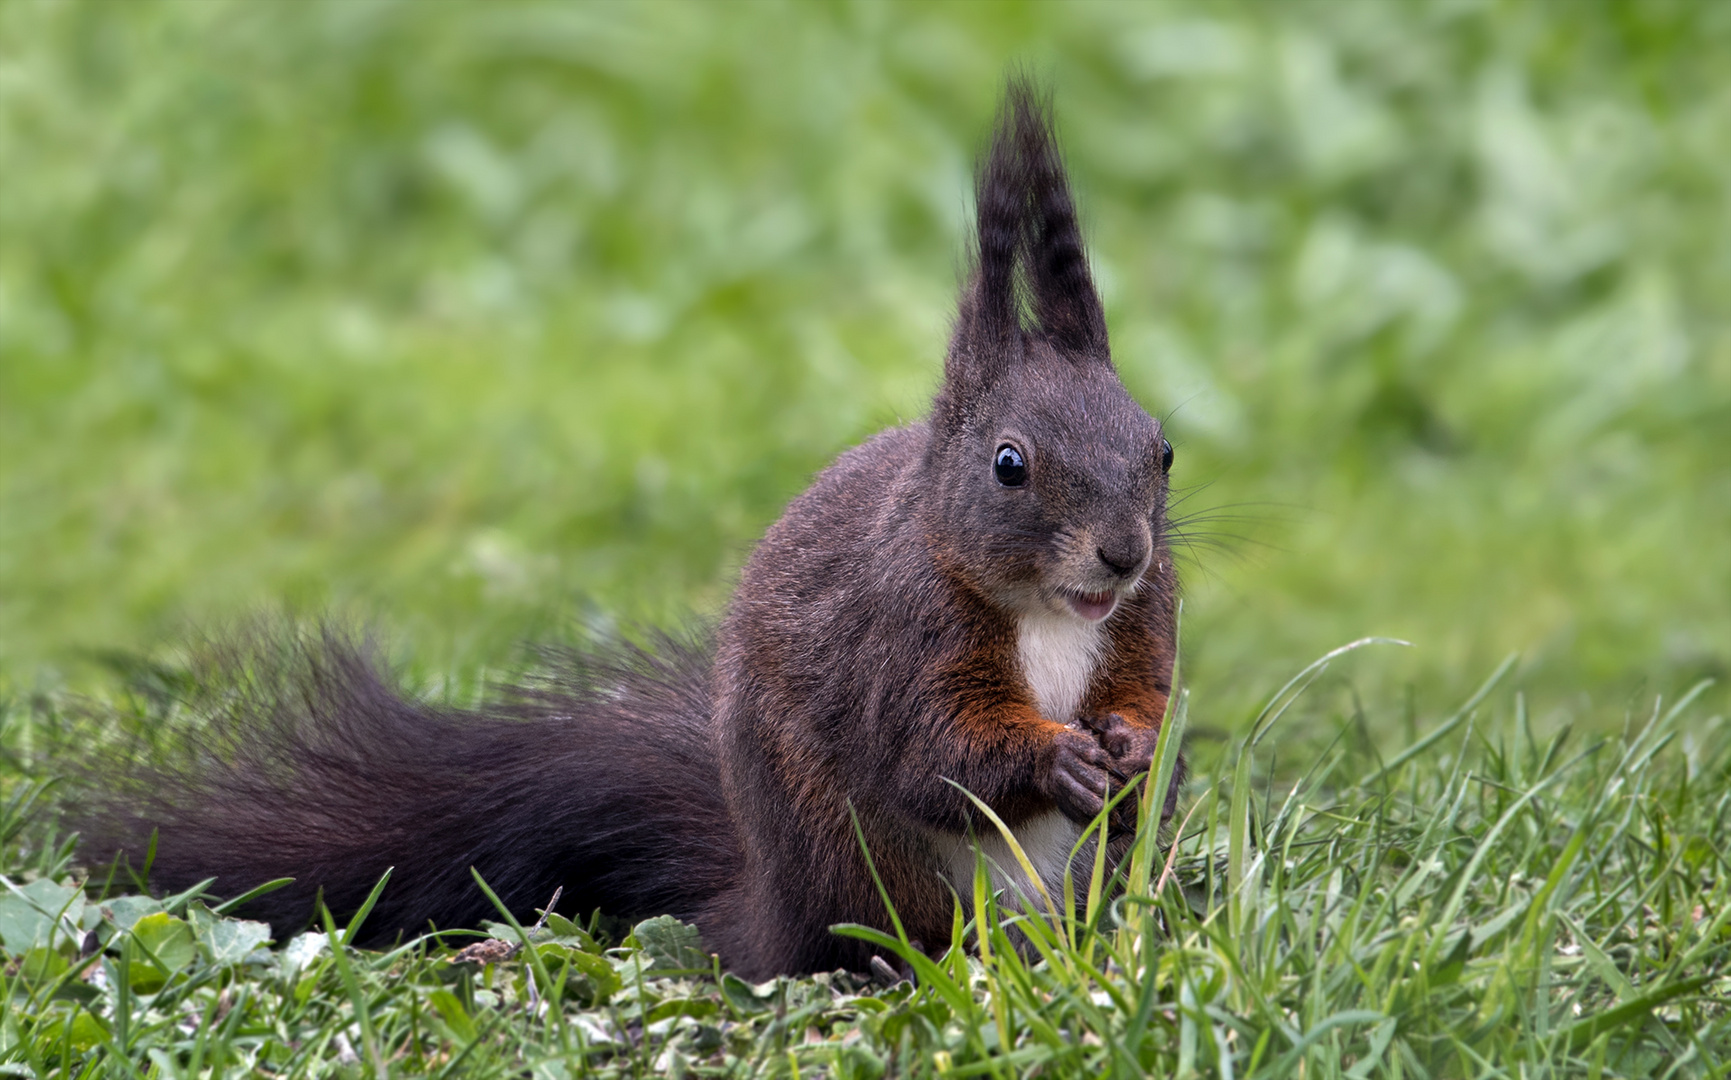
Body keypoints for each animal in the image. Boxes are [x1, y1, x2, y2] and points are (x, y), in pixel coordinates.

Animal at [74, 82, 1184, 976]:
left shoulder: (1145, 617)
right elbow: (932, 751)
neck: (1048, 612)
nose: (1122, 551)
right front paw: (1057, 762)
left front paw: (1132, 746)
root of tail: (766, 910)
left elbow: (1144, 691)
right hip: (861, 871)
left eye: (1163, 449)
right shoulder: (900, 635)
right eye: (1009, 465)